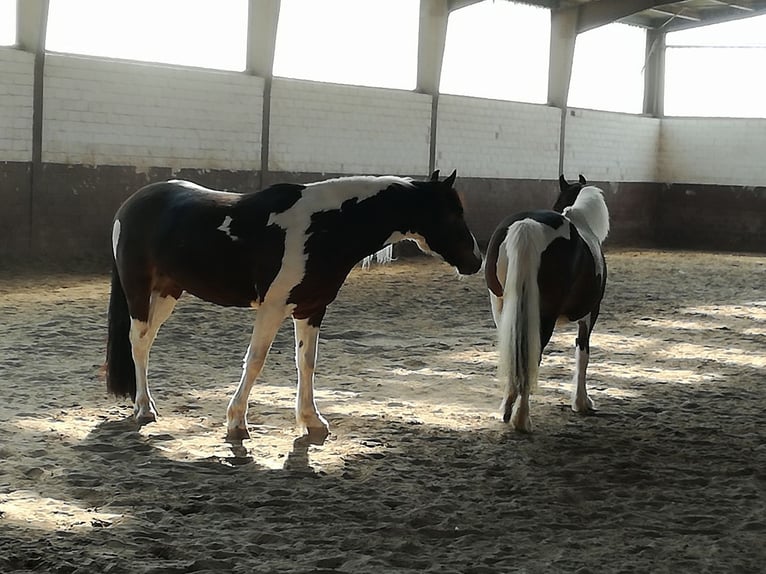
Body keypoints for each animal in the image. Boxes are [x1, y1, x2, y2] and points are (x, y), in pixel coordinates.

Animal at [106, 169, 484, 444]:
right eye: (453, 214)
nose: (476, 261)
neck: (326, 225)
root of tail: (129, 204)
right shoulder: (273, 308)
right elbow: (255, 361)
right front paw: (237, 423)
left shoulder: (310, 309)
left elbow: (307, 363)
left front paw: (312, 421)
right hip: (139, 290)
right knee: (138, 342)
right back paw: (144, 409)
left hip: (168, 292)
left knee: (146, 342)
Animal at [486, 176, 612, 432]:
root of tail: (527, 226)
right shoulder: (589, 315)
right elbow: (583, 354)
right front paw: (581, 402)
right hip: (543, 317)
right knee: (531, 357)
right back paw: (522, 419)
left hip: (503, 307)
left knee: (513, 353)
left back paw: (506, 411)